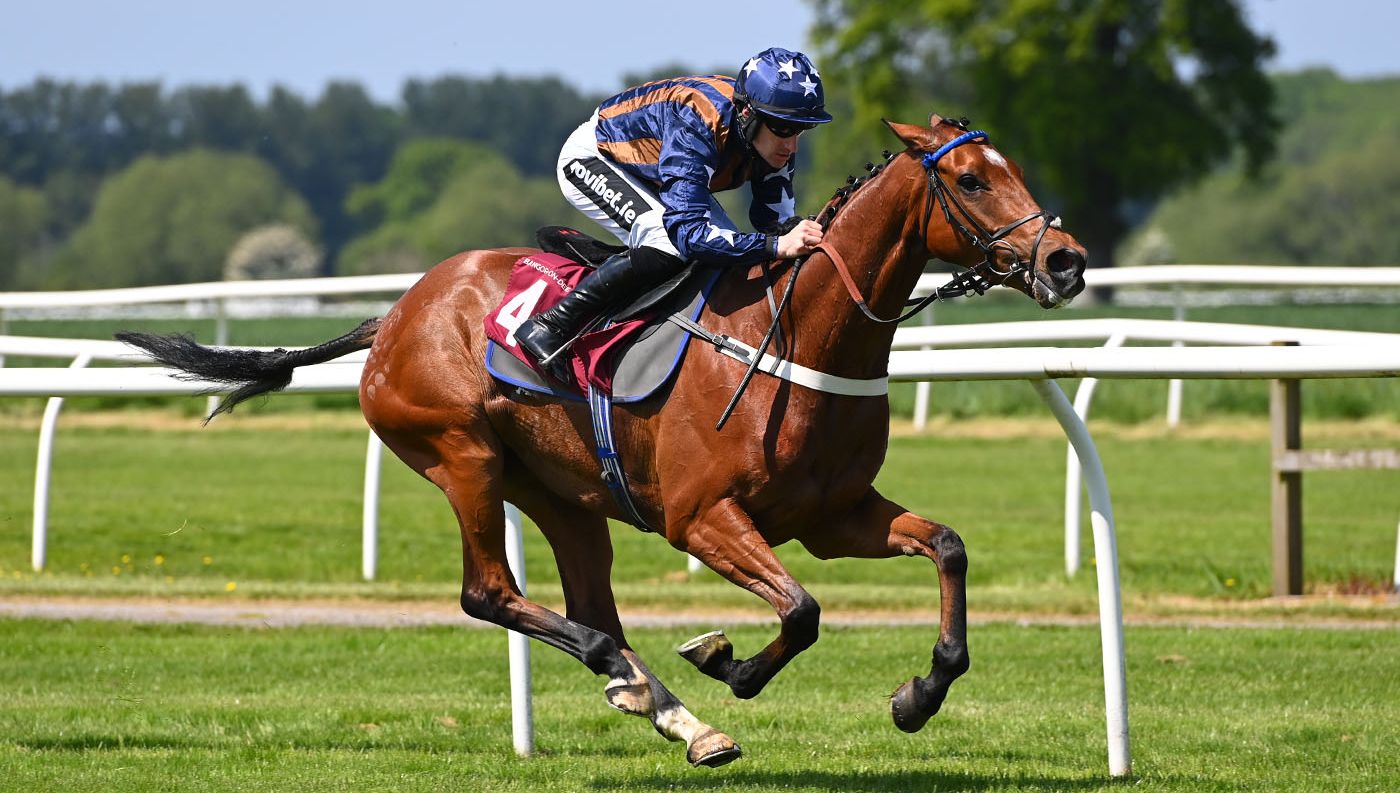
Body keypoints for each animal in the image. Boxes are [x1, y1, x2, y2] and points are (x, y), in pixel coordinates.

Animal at [117, 114, 1080, 767]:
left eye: (1015, 168)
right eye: (970, 179)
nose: (1065, 261)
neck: (801, 333)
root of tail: (395, 312)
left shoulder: (833, 516)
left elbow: (946, 547)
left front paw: (919, 695)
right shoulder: (702, 517)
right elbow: (802, 612)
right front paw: (729, 662)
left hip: (561, 494)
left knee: (587, 602)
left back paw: (672, 710)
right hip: (462, 455)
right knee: (491, 593)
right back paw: (632, 674)